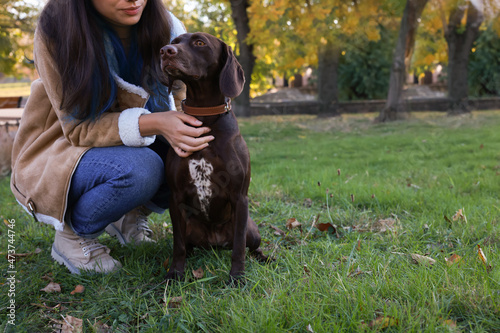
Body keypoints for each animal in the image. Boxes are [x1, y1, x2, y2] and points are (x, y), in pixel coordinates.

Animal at [160, 32, 270, 282]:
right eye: (175, 41)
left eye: (200, 42)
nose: (165, 51)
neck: (205, 118)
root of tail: (215, 243)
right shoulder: (176, 199)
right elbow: (178, 246)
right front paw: (175, 273)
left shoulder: (240, 197)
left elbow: (239, 247)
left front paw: (237, 277)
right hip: (190, 227)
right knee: (187, 245)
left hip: (251, 229)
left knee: (251, 246)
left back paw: (266, 258)